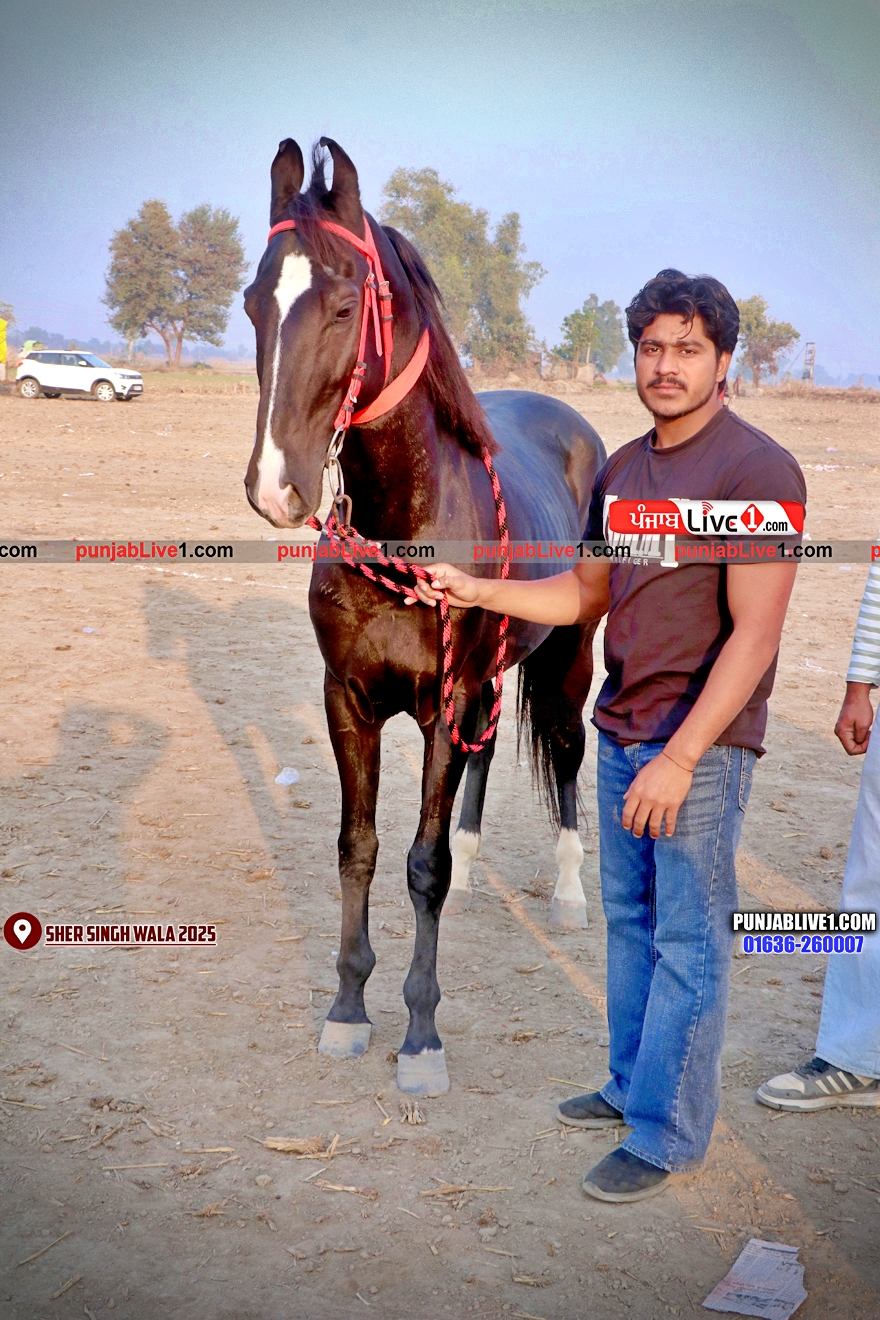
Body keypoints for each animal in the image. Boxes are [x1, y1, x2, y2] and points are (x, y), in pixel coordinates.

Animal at [243, 137, 606, 1096]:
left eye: (342, 305)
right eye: (254, 301)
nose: (276, 487)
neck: (408, 518)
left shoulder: (443, 705)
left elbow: (422, 863)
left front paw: (420, 1035)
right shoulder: (350, 701)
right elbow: (360, 848)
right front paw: (346, 1010)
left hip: (565, 660)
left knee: (565, 751)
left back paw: (568, 893)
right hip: (486, 679)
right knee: (486, 760)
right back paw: (483, 865)